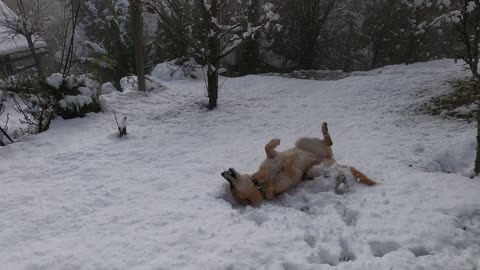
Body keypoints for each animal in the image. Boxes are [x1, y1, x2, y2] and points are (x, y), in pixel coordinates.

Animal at [221, 123, 376, 205]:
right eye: (232, 187)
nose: (222, 173)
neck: (262, 182)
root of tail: (331, 159)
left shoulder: (273, 155)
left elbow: (268, 147)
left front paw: (276, 141)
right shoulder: (295, 176)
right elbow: (289, 166)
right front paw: (292, 157)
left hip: (301, 141)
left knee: (328, 142)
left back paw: (324, 129)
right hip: (313, 170)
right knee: (331, 166)